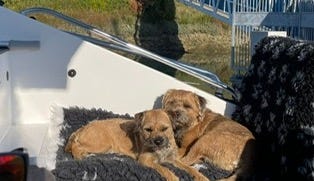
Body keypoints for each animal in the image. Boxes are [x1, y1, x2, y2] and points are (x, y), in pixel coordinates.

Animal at [65, 109, 209, 181]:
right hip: (101, 143)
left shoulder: (173, 159)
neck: (161, 149)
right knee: (75, 146)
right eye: (148, 129)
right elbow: (163, 168)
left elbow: (189, 168)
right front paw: (173, 177)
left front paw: (201, 176)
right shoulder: (146, 160)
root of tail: (82, 128)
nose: (158, 141)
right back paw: (79, 156)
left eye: (165, 129)